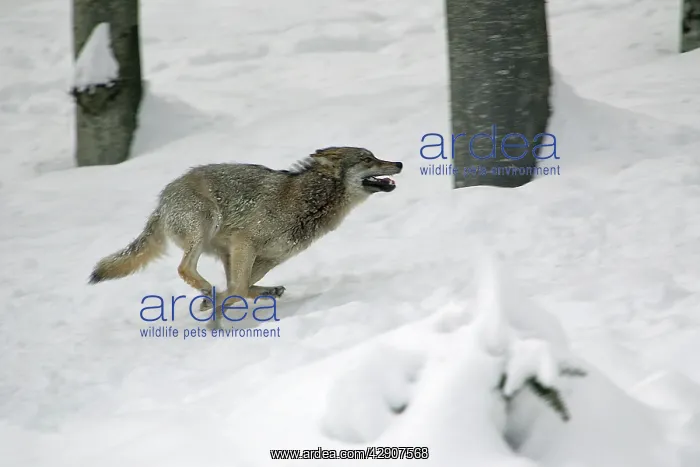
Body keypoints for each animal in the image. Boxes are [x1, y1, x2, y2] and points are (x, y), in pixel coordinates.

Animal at [88, 147, 403, 323]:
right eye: (368, 159)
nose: (399, 163)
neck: (310, 201)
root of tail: (161, 201)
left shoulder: (265, 258)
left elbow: (241, 286)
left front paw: (218, 304)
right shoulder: (245, 243)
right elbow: (238, 289)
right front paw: (217, 309)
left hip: (220, 247)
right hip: (205, 225)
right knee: (185, 268)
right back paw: (210, 292)